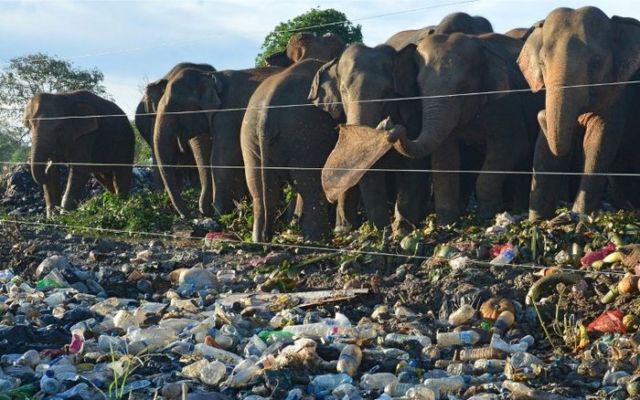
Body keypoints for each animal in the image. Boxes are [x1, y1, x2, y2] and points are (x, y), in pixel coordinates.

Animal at [388, 32, 544, 223]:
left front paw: (485, 217)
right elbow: (444, 158)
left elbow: (513, 147)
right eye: (419, 87)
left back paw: (516, 209)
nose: (392, 126)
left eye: (463, 87)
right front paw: (446, 223)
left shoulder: (505, 103)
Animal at [516, 6, 640, 220]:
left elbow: (598, 140)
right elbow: (544, 147)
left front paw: (578, 216)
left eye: (596, 62)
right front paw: (537, 221)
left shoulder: (619, 93)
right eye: (542, 64)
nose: (540, 114)